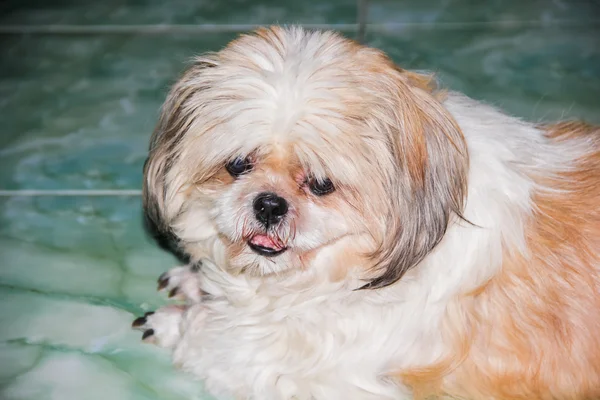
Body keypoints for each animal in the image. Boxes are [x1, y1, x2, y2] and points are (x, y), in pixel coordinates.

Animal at [132, 26, 600, 398]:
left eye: (321, 184)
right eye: (237, 164)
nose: (268, 204)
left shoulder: (312, 369)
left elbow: (212, 336)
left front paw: (173, 321)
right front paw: (194, 281)